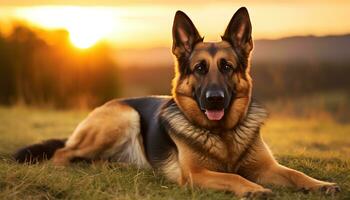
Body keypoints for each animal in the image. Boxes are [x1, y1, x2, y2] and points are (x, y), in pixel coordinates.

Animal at [15, 7, 340, 198]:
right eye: (199, 69)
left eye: (226, 67)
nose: (214, 99)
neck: (223, 135)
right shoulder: (197, 175)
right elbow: (234, 177)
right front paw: (254, 189)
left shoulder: (266, 166)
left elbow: (295, 173)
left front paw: (320, 184)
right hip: (125, 117)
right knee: (62, 153)